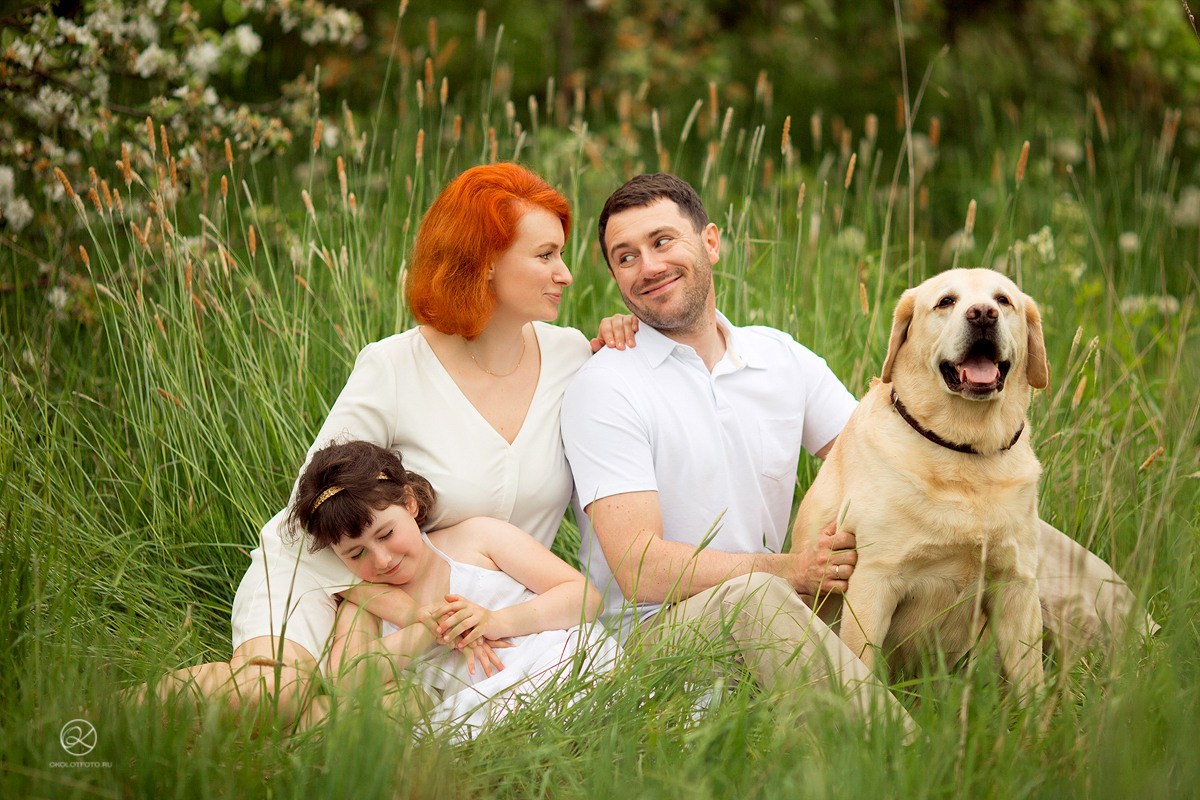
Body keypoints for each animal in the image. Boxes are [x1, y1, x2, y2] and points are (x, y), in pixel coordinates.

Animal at [796, 268, 1051, 700]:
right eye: (946, 301)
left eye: (1003, 301)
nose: (982, 314)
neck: (964, 452)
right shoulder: (874, 580)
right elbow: (861, 663)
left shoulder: (1017, 585)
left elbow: (1032, 683)